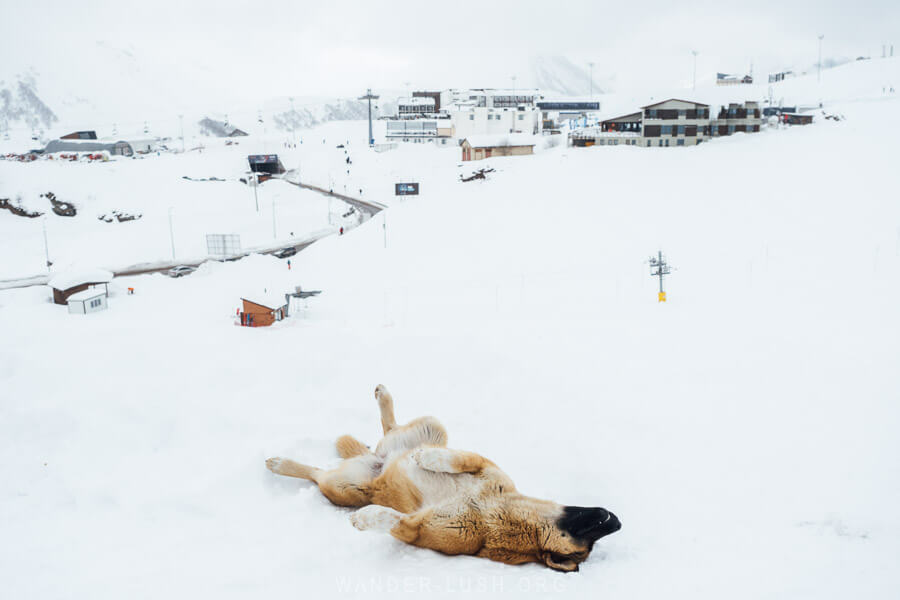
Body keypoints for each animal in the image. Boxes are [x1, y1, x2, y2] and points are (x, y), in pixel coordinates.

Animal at [264, 384, 624, 572]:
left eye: (591, 536)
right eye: (597, 526)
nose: (616, 519)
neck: (498, 516)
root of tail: (377, 460)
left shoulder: (418, 531)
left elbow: (391, 520)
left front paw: (365, 520)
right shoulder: (486, 467)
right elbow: (461, 459)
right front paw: (428, 460)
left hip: (346, 489)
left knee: (317, 475)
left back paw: (280, 463)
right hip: (432, 426)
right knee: (392, 429)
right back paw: (386, 402)